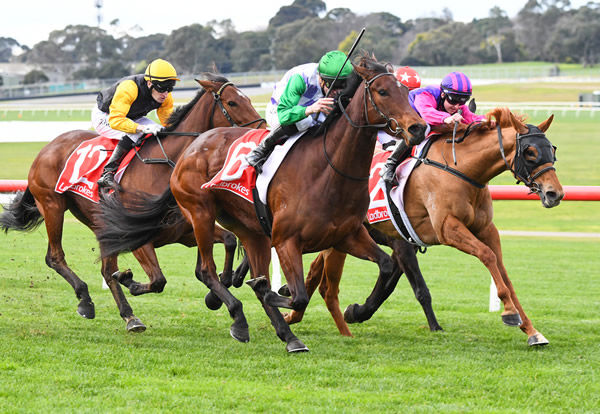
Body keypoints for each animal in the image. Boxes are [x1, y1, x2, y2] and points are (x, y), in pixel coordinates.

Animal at [0, 74, 264, 332]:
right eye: (232, 102)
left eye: (248, 99)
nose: (263, 129)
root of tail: (47, 147)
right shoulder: (139, 240)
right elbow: (158, 281)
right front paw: (130, 281)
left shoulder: (184, 232)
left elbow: (228, 240)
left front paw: (221, 287)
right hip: (53, 205)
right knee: (55, 257)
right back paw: (87, 300)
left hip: (102, 226)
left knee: (106, 271)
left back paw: (129, 316)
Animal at [97, 55, 426, 352]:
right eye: (382, 91)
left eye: (405, 90)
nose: (418, 128)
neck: (329, 168)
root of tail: (190, 149)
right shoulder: (286, 240)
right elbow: (296, 295)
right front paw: (269, 292)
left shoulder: (347, 235)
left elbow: (386, 266)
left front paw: (358, 310)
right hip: (200, 213)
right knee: (205, 270)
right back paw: (235, 315)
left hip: (251, 231)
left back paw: (287, 336)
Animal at [286, 107, 564, 346]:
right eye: (530, 152)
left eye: (552, 149)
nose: (555, 194)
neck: (462, 171)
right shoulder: (445, 229)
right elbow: (483, 257)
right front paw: (507, 312)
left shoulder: (486, 230)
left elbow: (502, 271)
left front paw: (531, 330)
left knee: (317, 269)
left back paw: (294, 310)